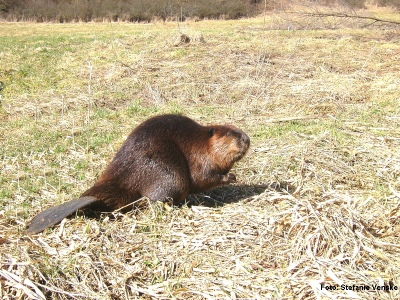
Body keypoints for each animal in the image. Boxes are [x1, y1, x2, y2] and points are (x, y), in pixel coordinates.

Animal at [24, 115, 250, 234]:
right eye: (229, 133)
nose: (247, 139)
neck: (202, 142)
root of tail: (92, 196)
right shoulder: (199, 158)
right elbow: (203, 177)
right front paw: (232, 177)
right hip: (169, 175)